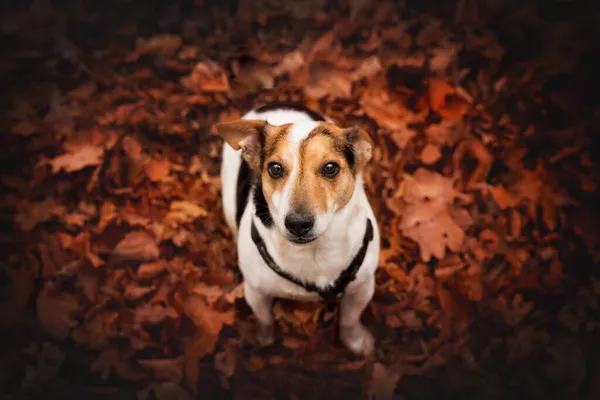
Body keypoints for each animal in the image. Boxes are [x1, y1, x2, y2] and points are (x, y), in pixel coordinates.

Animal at [216, 101, 380, 354]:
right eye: (275, 168)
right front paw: (263, 340)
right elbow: (264, 319)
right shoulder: (256, 292)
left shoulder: (362, 286)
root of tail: (275, 103)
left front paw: (355, 340)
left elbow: (350, 319)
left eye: (330, 168)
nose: (298, 223)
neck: (313, 251)